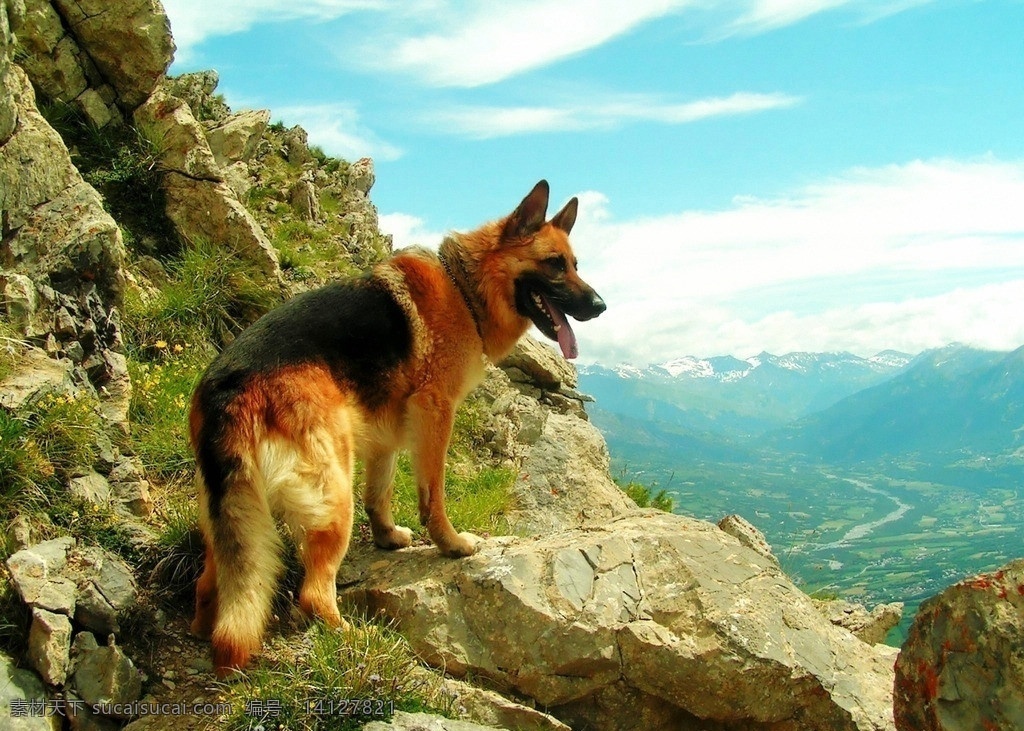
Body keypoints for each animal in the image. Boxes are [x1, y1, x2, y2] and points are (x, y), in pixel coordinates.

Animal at [188, 176, 602, 671]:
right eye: (554, 265)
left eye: (575, 265)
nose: (600, 305)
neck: (466, 288)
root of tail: (227, 387)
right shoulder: (435, 413)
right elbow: (433, 494)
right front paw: (449, 544)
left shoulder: (386, 431)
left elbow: (380, 492)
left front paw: (387, 537)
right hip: (333, 497)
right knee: (313, 593)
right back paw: (352, 639)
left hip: (236, 516)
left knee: (213, 585)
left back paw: (204, 633)